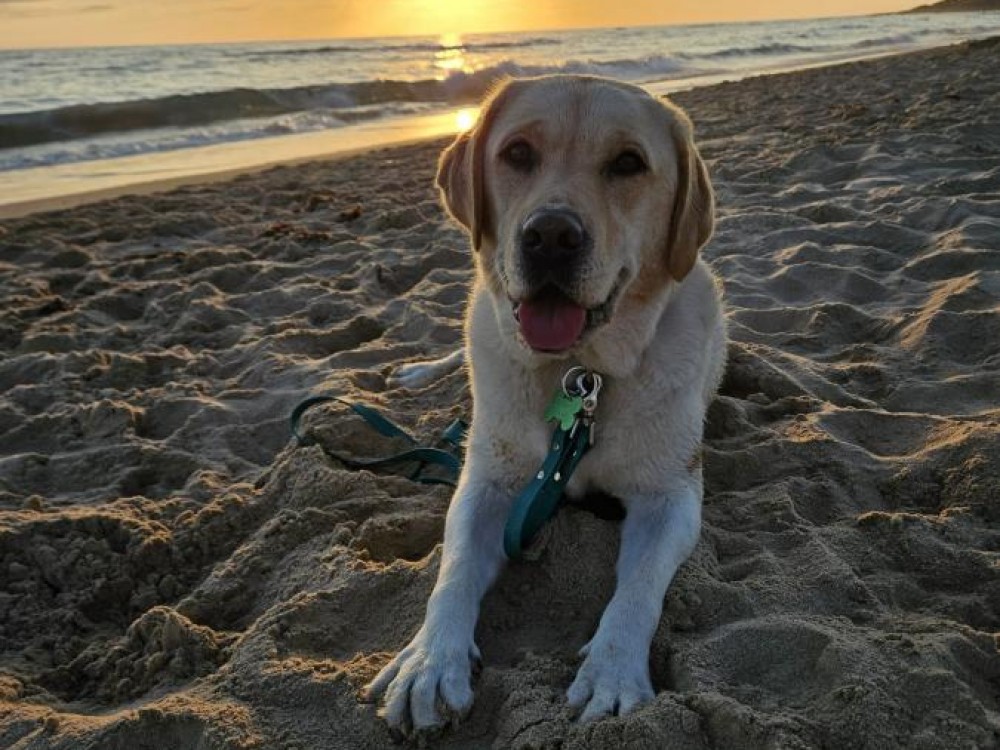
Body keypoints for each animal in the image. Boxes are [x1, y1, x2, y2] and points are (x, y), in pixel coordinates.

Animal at [364, 74, 726, 733]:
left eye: (628, 163)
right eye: (517, 153)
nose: (551, 236)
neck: (578, 375)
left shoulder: (671, 495)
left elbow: (637, 590)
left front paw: (612, 673)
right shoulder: (486, 482)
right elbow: (453, 570)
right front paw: (429, 662)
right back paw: (419, 370)